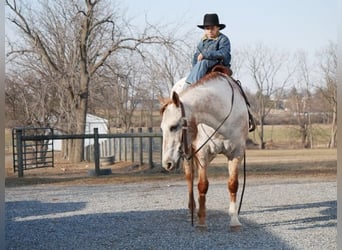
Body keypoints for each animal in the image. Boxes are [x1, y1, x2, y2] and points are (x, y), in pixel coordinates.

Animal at [160, 69, 248, 229]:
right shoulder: (202, 154)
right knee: (190, 178)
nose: (167, 163)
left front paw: (234, 220)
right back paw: (193, 209)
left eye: (173, 126)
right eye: (162, 128)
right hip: (188, 154)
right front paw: (201, 222)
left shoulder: (236, 153)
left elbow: (233, 185)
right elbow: (202, 185)